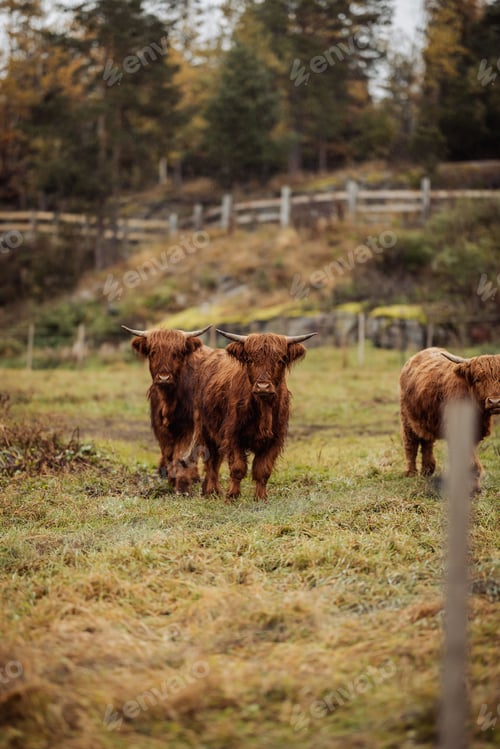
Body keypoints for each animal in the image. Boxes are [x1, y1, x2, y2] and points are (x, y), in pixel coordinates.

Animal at [122, 324, 212, 494]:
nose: (164, 378)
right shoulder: (159, 426)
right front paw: (171, 479)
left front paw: (181, 486)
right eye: (153, 352)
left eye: (177, 353)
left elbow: (181, 455)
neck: (169, 401)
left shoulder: (189, 427)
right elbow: (169, 453)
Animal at [190, 329, 317, 501]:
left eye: (280, 360)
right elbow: (238, 468)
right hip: (205, 429)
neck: (263, 409)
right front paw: (232, 496)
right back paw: (211, 491)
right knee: (211, 461)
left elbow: (263, 470)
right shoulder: (233, 436)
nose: (262, 386)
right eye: (250, 359)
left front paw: (261, 497)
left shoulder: (275, 440)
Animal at [400, 347, 500, 491]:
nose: (495, 402)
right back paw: (411, 473)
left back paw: (427, 471)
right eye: (478, 379)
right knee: (410, 443)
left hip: (426, 419)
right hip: (407, 419)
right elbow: (469, 460)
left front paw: (475, 486)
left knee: (426, 442)